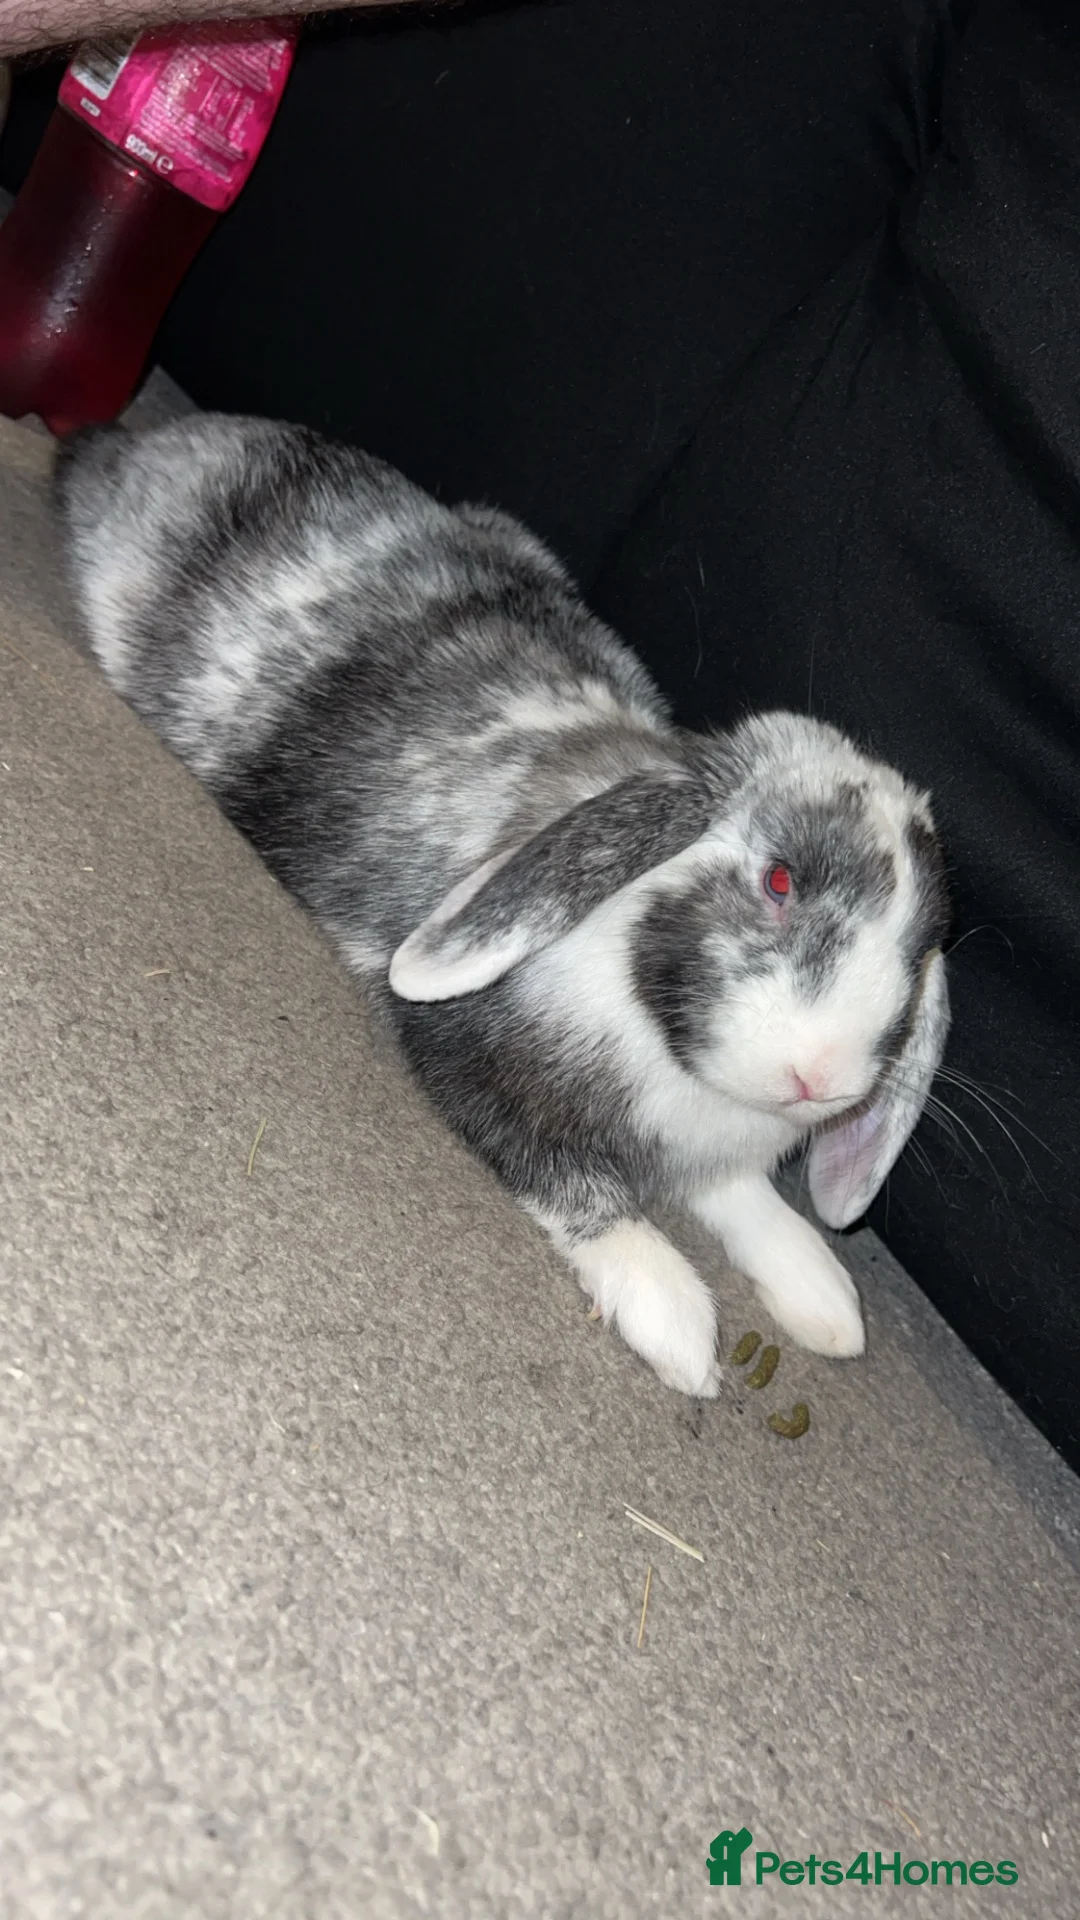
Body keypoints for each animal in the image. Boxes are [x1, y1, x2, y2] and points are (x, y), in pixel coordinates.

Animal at [55, 414, 951, 1398]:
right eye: (779, 880)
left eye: (918, 955)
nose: (820, 1077)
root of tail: (146, 438)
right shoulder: (472, 1069)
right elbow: (576, 1187)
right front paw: (676, 1323)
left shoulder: (721, 1163)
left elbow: (748, 1203)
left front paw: (824, 1298)